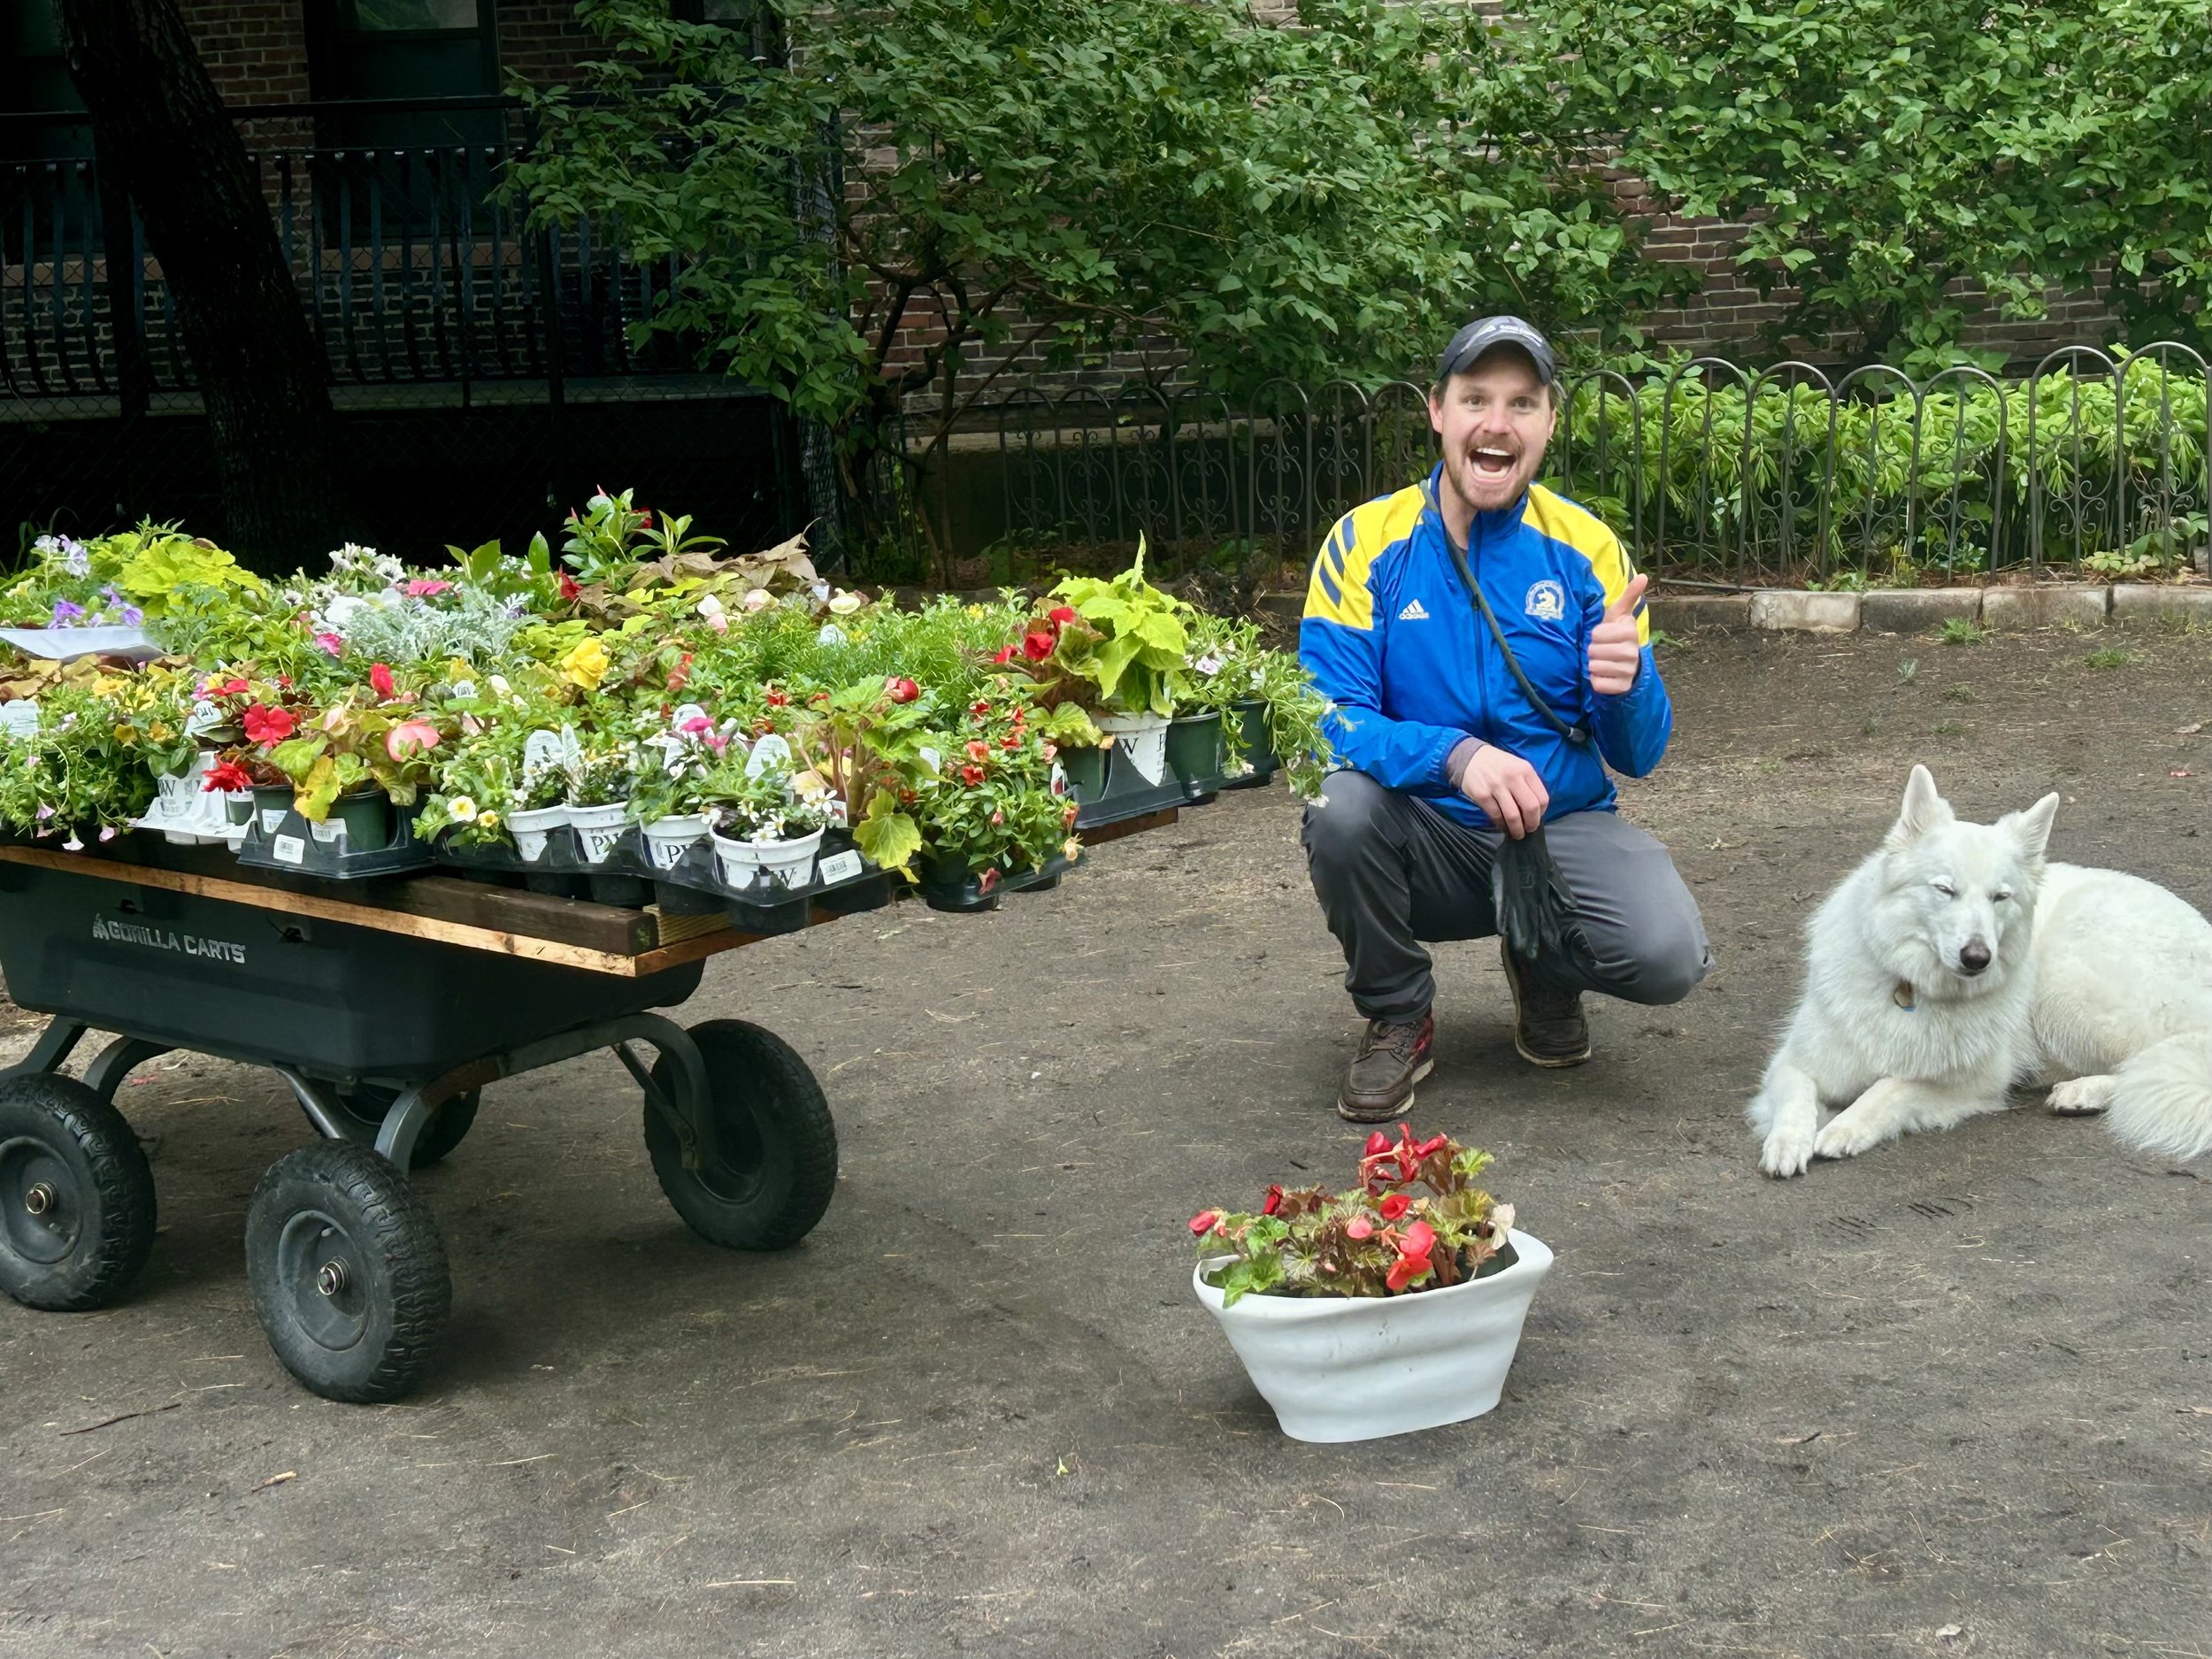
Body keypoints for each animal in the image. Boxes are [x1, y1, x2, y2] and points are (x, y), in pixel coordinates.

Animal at [1750, 764, 2212, 1176]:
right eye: (1945, 889)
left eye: (1999, 897)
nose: (1977, 958)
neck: (1911, 987)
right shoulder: (1795, 1062)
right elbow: (1796, 1095)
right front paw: (1786, 1142)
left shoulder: (1971, 1081)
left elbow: (1891, 1087)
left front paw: (1846, 1126)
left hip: (2068, 984)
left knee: (2148, 1063)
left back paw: (2084, 1090)